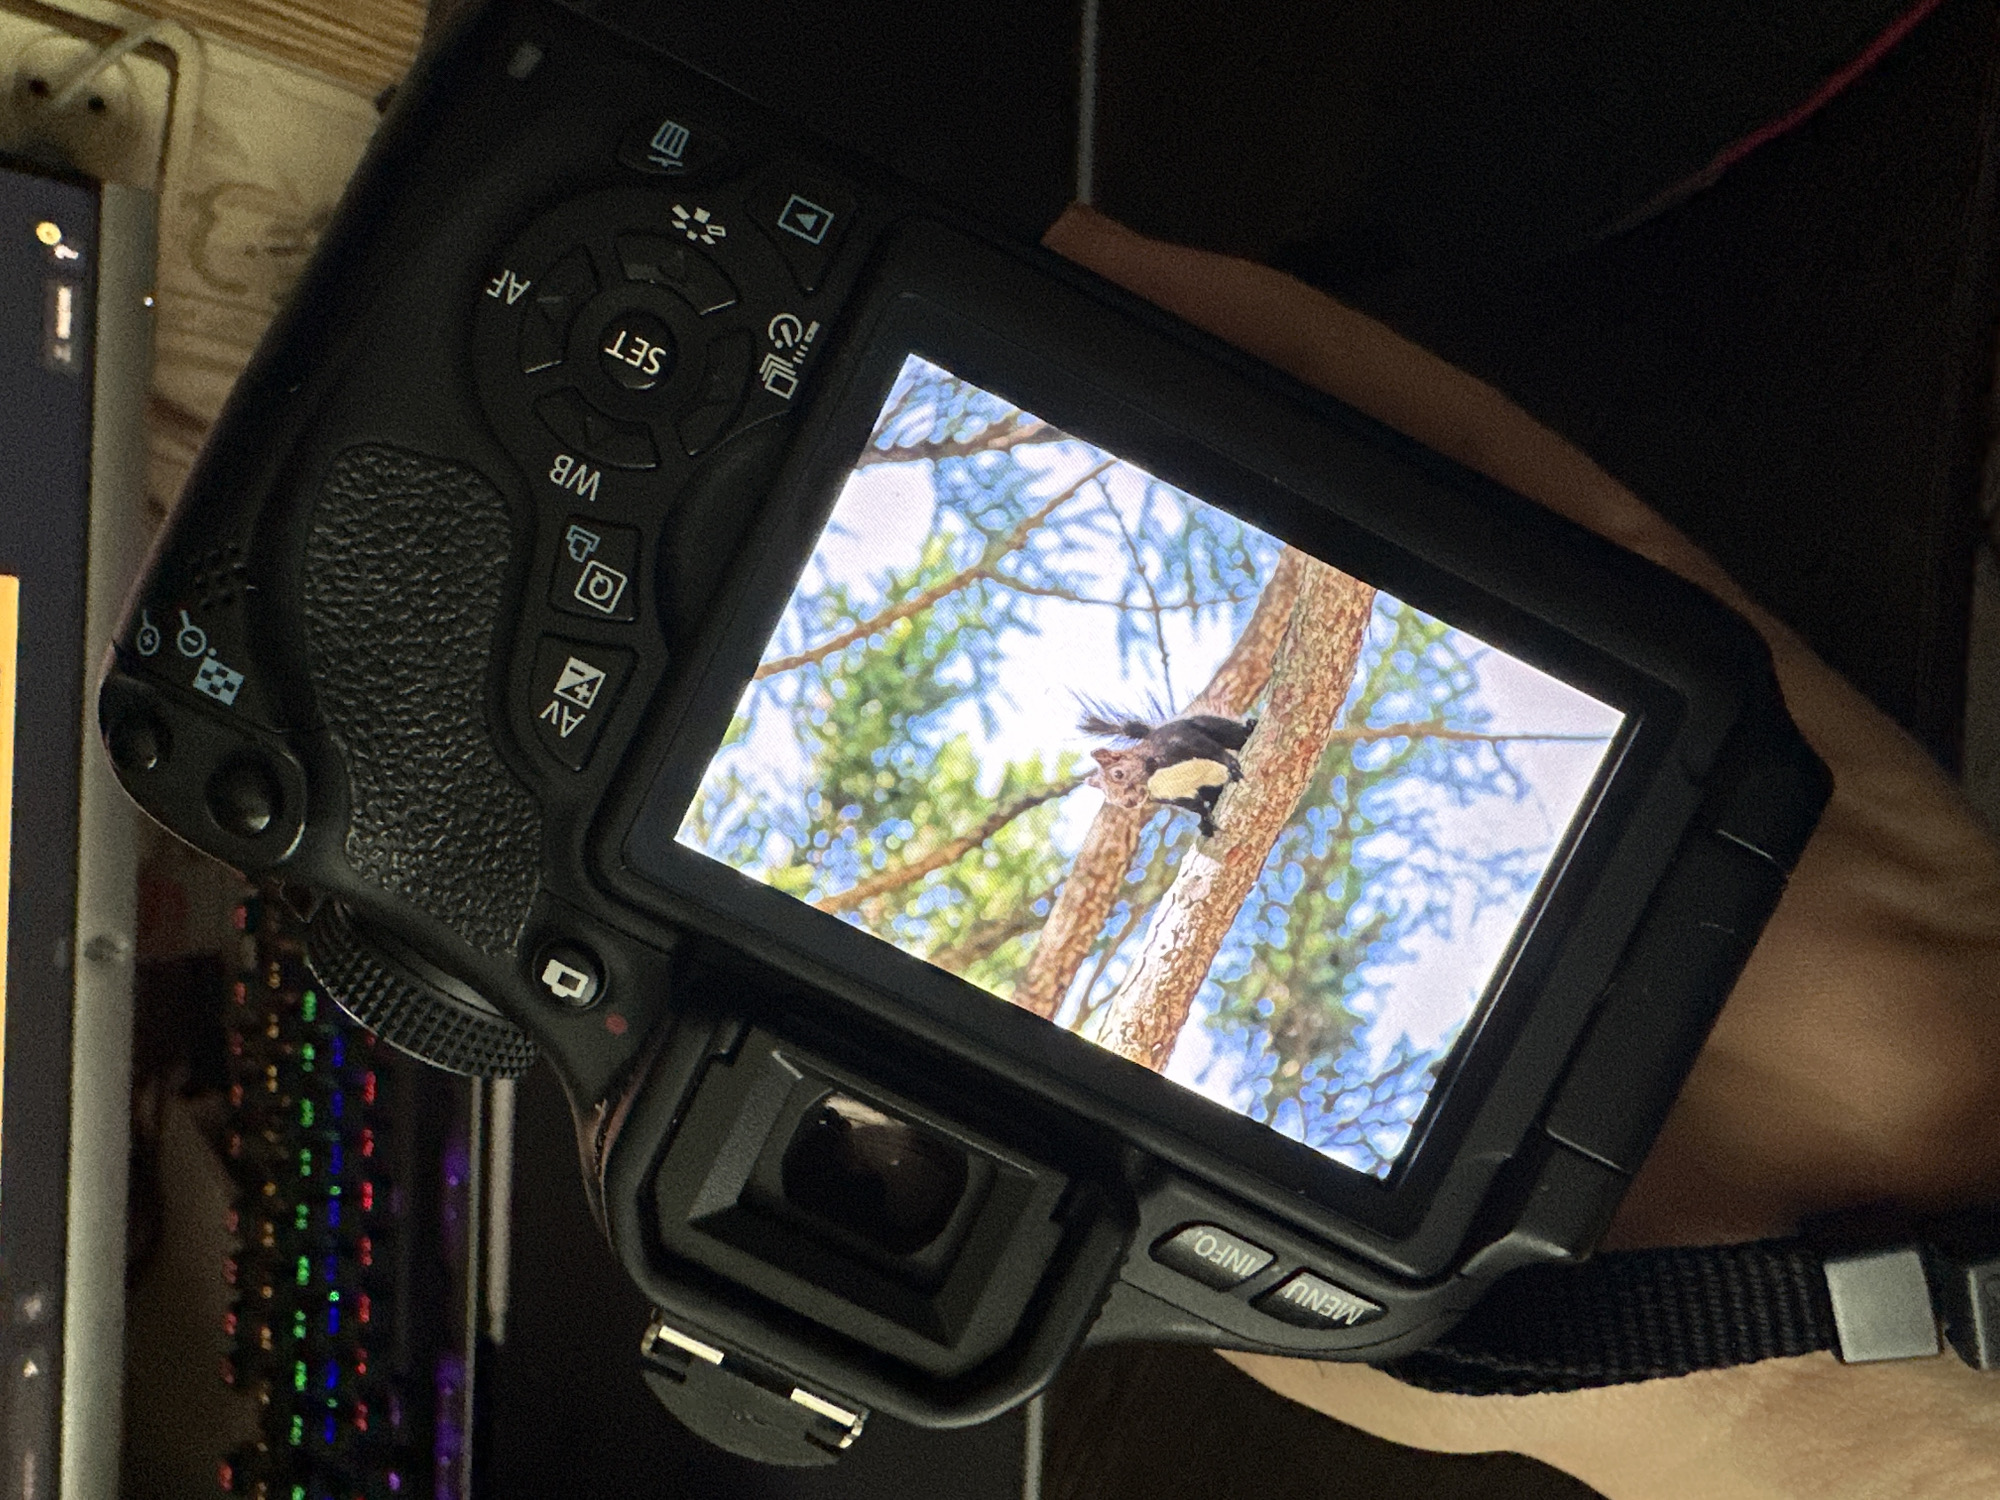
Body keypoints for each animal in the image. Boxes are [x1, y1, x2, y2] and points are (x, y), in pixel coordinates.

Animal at [1078, 702, 1258, 837]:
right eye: (1111, 798)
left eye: (1118, 774)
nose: (1128, 803)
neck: (1153, 775)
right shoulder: (1171, 796)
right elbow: (1193, 805)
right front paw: (1204, 820)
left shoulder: (1179, 740)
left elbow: (1210, 749)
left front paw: (1230, 764)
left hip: (1208, 725)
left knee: (1230, 734)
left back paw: (1250, 728)